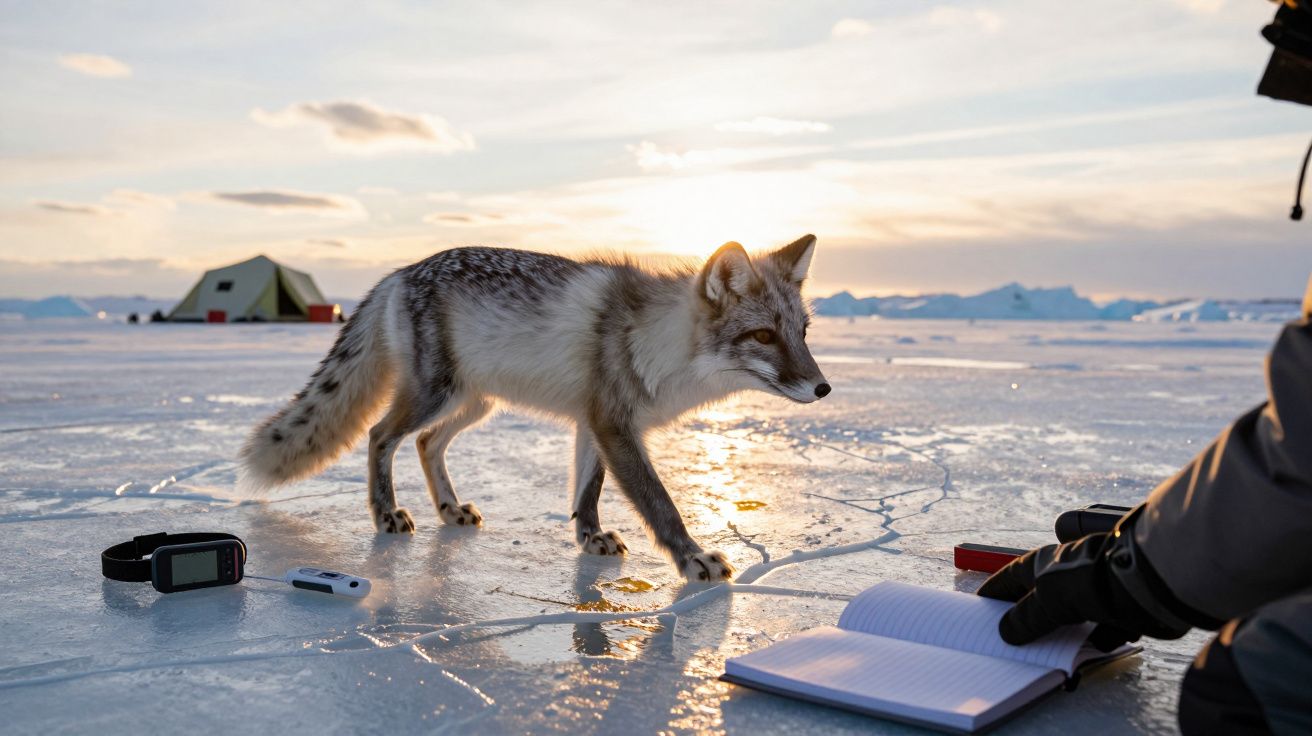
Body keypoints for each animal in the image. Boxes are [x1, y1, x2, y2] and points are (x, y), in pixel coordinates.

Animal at [238, 235, 830, 581]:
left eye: (801, 333)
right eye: (763, 336)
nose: (823, 388)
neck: (658, 342)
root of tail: (400, 271)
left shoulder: (593, 421)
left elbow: (587, 490)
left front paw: (589, 537)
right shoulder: (616, 426)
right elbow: (660, 503)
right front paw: (692, 558)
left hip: (474, 403)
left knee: (427, 443)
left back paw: (449, 509)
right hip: (435, 396)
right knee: (380, 435)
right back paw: (387, 513)